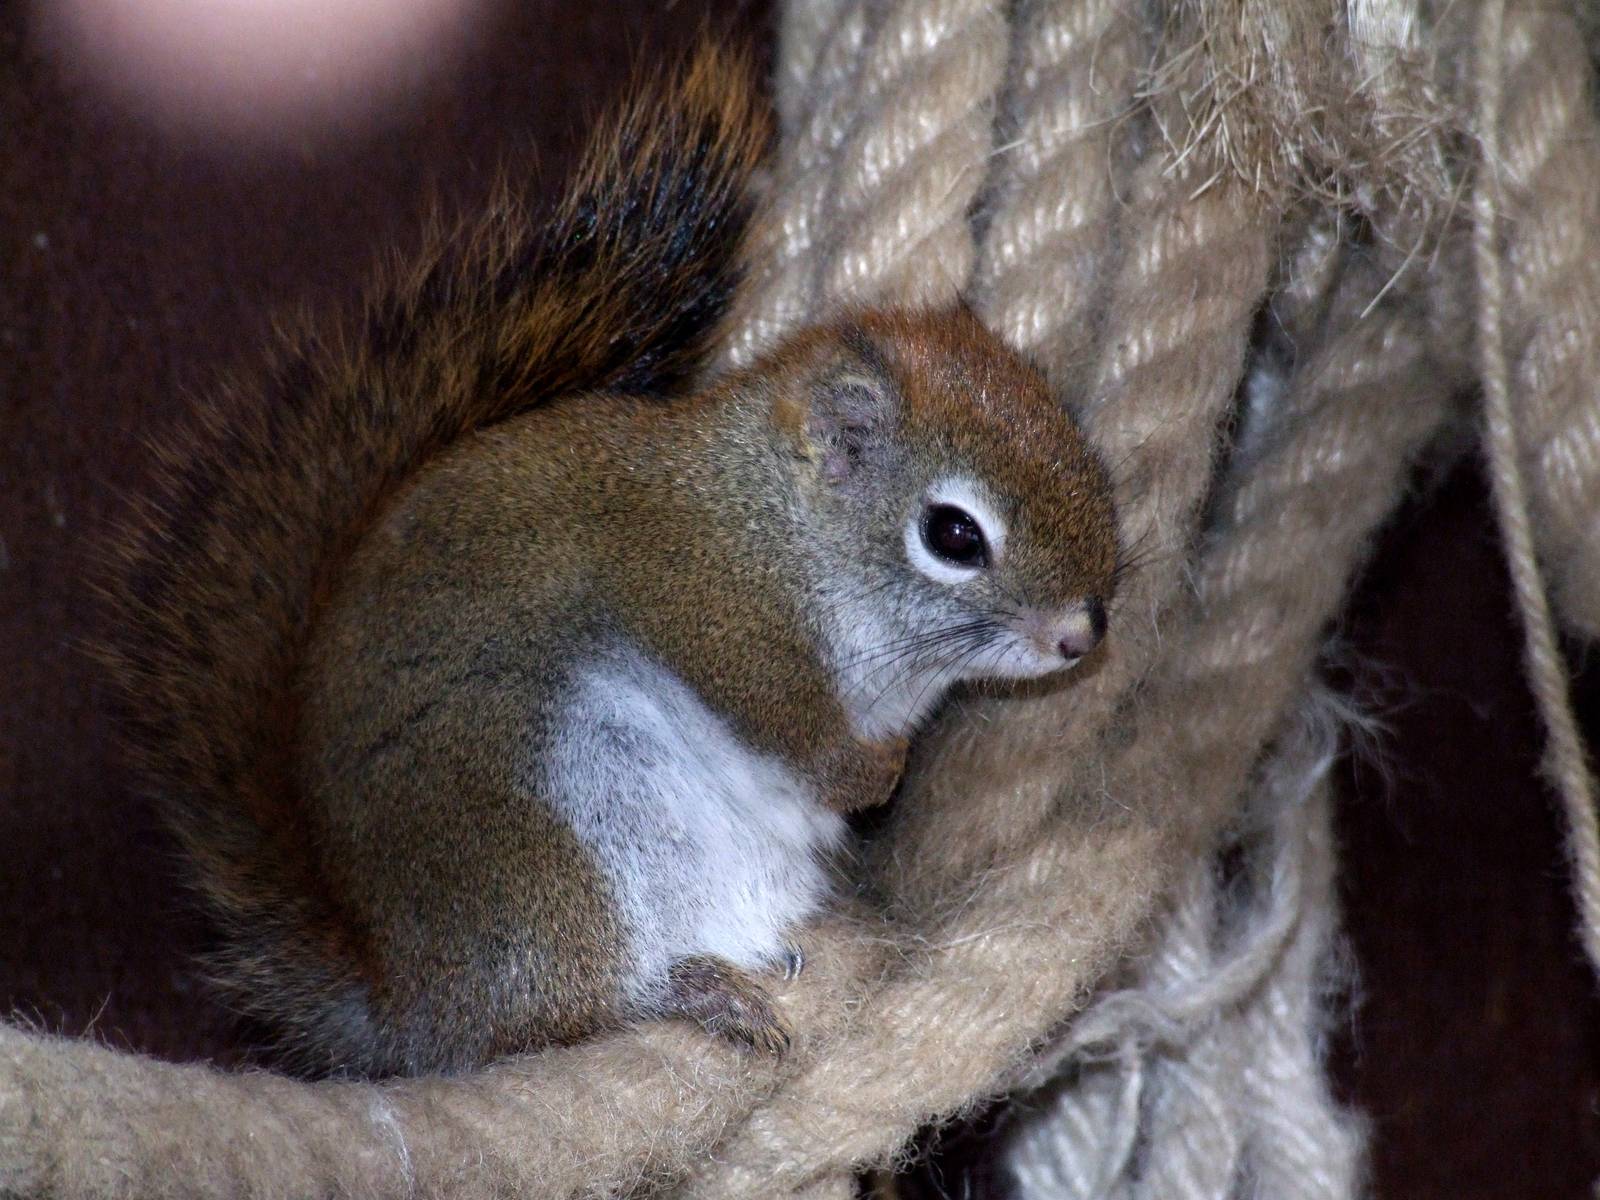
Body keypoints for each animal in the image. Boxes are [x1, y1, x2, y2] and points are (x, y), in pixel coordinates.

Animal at [103, 48, 1119, 1078]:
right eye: (954, 535)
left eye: (1074, 435)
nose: (1082, 635)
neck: (779, 525)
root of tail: (408, 1001)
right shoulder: (702, 598)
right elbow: (782, 715)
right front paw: (867, 772)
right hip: (551, 840)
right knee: (568, 1007)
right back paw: (694, 989)